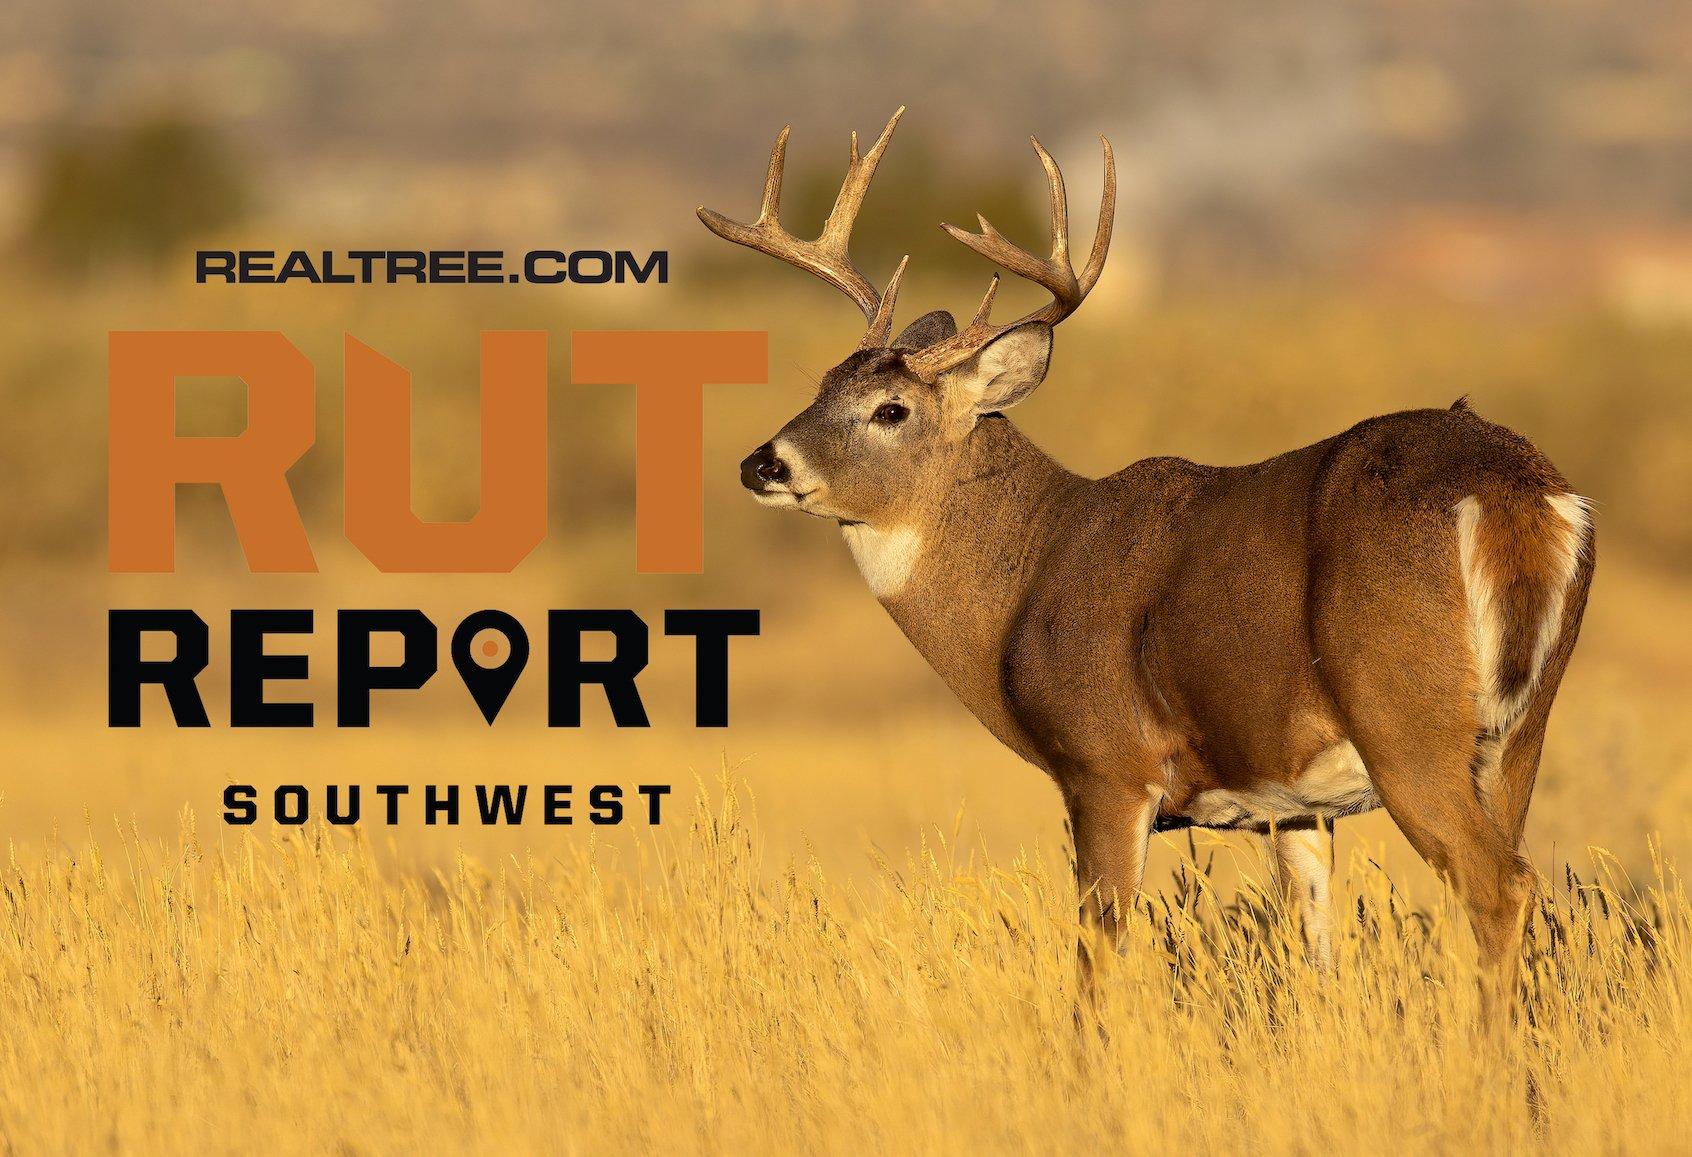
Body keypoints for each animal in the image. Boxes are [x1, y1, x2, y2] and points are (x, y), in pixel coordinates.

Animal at [700, 108, 1595, 1021]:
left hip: (1406, 722)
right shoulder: (1293, 802)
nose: (761, 463)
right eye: (820, 386)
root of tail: (1516, 491)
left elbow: (1095, 964)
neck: (1031, 573)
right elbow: (1316, 956)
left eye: (891, 409)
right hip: (1520, 732)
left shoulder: (1107, 765)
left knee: (1500, 886)